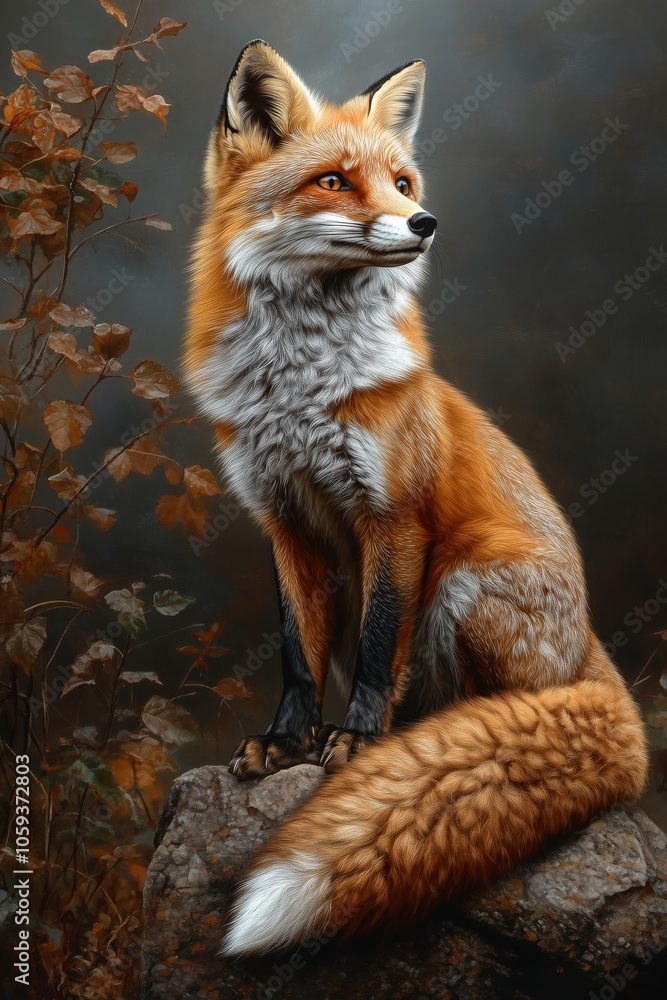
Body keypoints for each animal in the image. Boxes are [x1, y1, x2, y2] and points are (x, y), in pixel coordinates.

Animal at [184, 40, 648, 957]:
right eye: (333, 180)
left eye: (401, 183)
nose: (425, 223)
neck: (297, 385)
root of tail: (592, 652)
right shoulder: (283, 520)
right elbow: (297, 651)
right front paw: (285, 742)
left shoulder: (392, 518)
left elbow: (374, 646)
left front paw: (357, 742)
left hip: (469, 579)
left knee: (500, 708)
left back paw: (441, 744)